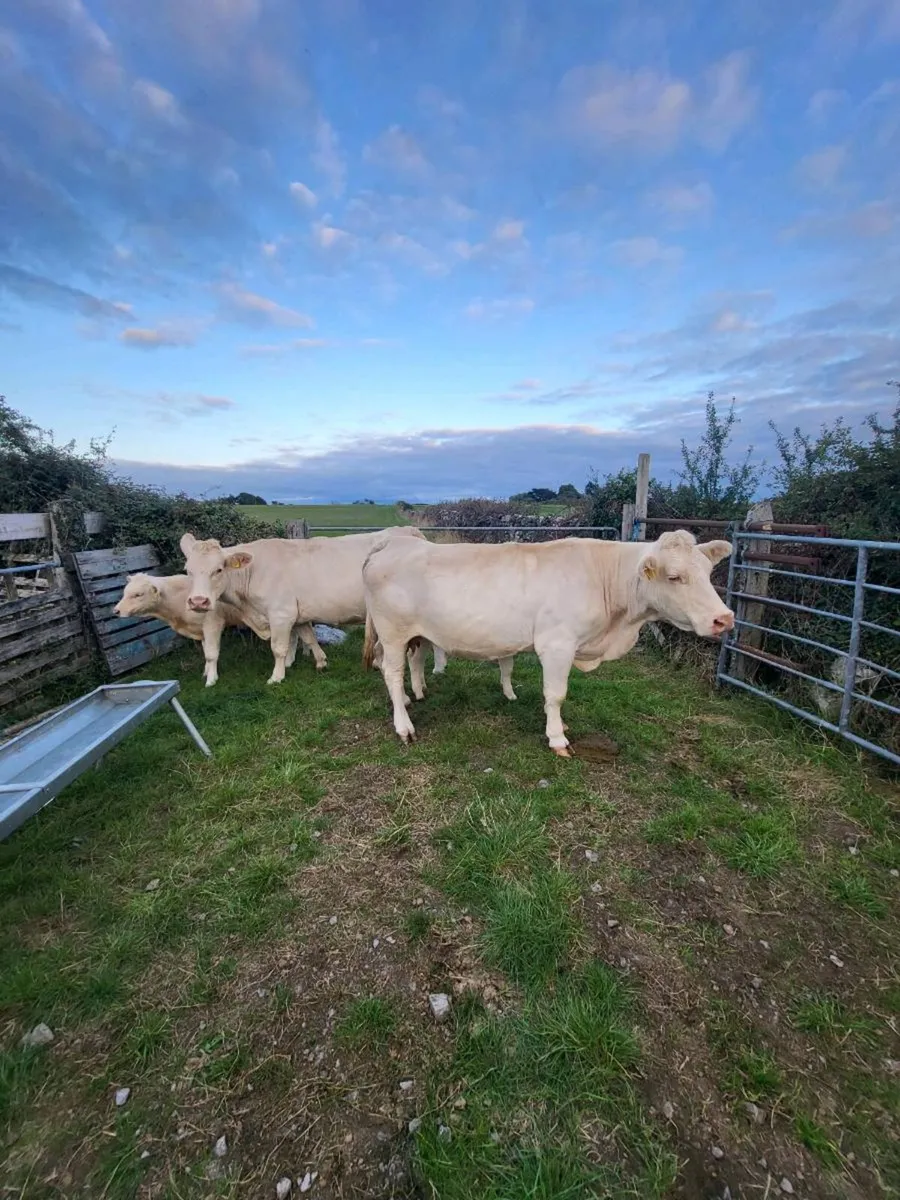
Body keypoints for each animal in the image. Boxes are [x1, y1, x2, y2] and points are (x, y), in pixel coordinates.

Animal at [113, 572, 316, 686]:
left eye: (138, 594)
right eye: (125, 591)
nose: (116, 611)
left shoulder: (212, 624)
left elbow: (211, 654)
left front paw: (211, 680)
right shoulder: (201, 630)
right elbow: (205, 652)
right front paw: (206, 672)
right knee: (296, 635)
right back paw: (294, 658)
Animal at [179, 526, 430, 685]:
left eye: (218, 569)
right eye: (187, 570)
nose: (198, 601)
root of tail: (408, 530)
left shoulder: (281, 614)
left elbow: (278, 648)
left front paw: (276, 677)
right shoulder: (298, 614)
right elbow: (308, 637)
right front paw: (320, 662)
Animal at [361, 530, 734, 755]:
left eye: (708, 572)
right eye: (674, 577)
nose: (725, 618)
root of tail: (392, 543)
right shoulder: (557, 645)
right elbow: (556, 694)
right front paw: (557, 737)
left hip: (415, 635)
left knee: (410, 663)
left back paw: (411, 696)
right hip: (393, 633)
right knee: (391, 672)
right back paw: (404, 726)